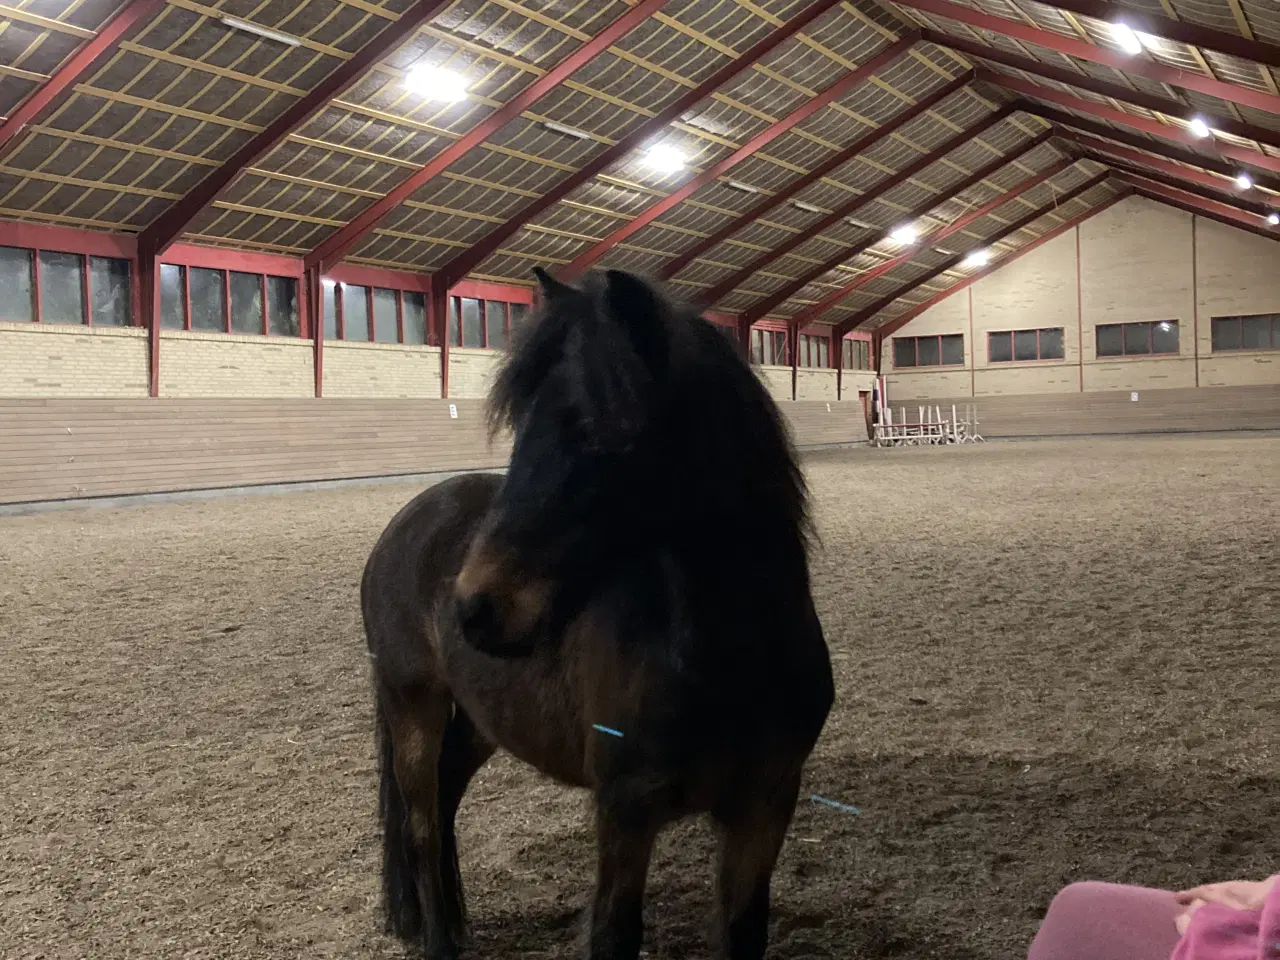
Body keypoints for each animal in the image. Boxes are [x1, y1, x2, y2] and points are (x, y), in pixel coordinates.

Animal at [361, 266, 834, 960]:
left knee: (444, 801)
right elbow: (614, 933)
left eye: (596, 430)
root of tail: (405, 524)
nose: (473, 606)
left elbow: (742, 931)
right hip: (412, 706)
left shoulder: (764, 809)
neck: (725, 660)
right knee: (421, 822)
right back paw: (439, 940)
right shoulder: (625, 815)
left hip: (479, 721)